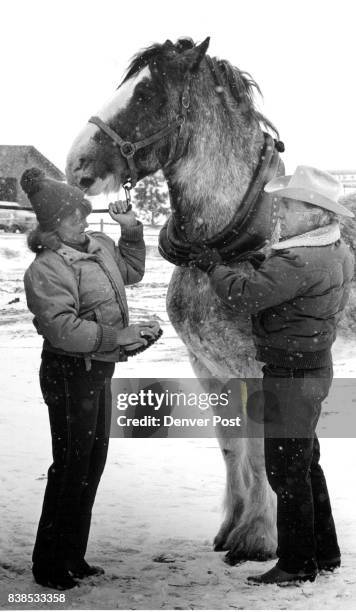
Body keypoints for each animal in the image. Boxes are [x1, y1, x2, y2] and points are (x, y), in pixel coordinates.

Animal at [64, 37, 304, 564]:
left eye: (146, 95)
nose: (75, 164)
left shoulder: (260, 367)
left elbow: (260, 450)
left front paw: (259, 539)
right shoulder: (210, 367)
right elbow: (232, 448)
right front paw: (232, 529)